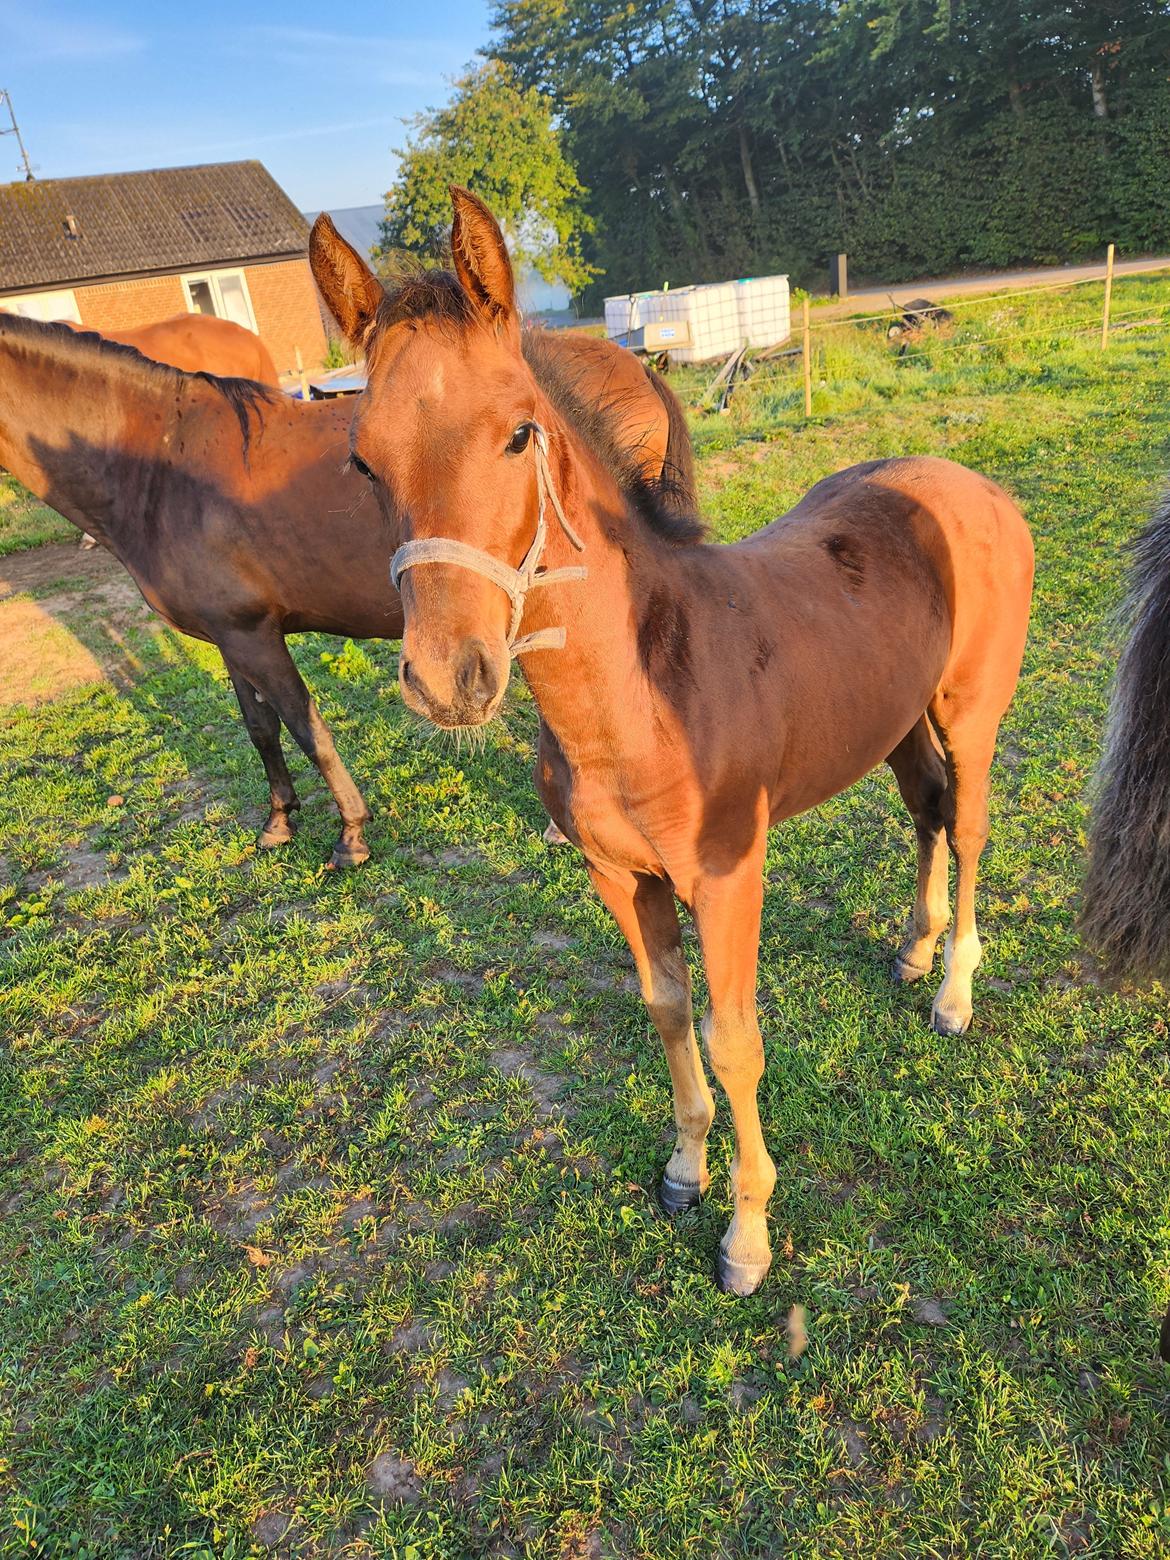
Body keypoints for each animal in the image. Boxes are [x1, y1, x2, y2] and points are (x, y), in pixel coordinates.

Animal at [0, 304, 695, 867]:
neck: (162, 465)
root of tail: (633, 367)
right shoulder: (230, 636)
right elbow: (260, 728)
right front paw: (279, 821)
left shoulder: (253, 636)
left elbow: (305, 726)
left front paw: (350, 834)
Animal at [312, 191, 1035, 1291]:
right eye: (362, 459)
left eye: (519, 434)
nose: (447, 680)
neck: (640, 700)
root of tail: (972, 485)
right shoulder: (621, 877)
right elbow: (665, 1011)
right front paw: (685, 1172)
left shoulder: (729, 876)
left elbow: (735, 1041)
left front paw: (747, 1237)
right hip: (897, 719)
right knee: (926, 810)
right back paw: (914, 951)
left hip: (972, 711)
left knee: (972, 825)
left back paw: (953, 988)